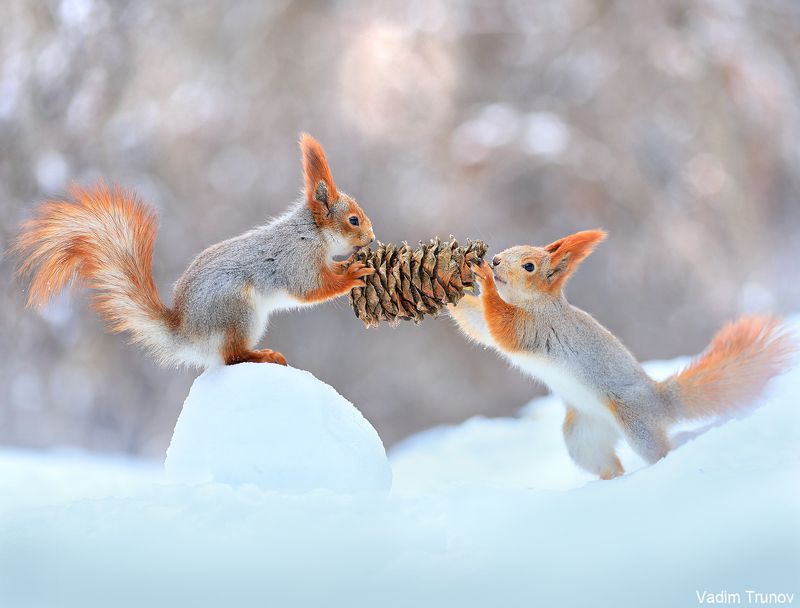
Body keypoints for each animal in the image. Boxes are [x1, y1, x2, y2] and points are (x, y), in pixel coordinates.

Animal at [14, 134, 376, 368]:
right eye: (353, 220)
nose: (371, 238)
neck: (311, 233)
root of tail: (186, 332)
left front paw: (348, 266)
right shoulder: (297, 261)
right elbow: (312, 288)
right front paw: (352, 275)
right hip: (237, 311)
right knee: (231, 357)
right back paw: (262, 355)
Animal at [449, 229, 794, 479]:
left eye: (529, 266)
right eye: (513, 248)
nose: (494, 261)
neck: (535, 304)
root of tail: (660, 401)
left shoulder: (532, 328)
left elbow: (499, 326)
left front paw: (482, 277)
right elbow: (478, 324)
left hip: (636, 422)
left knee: (658, 449)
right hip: (583, 435)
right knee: (605, 462)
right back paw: (609, 483)